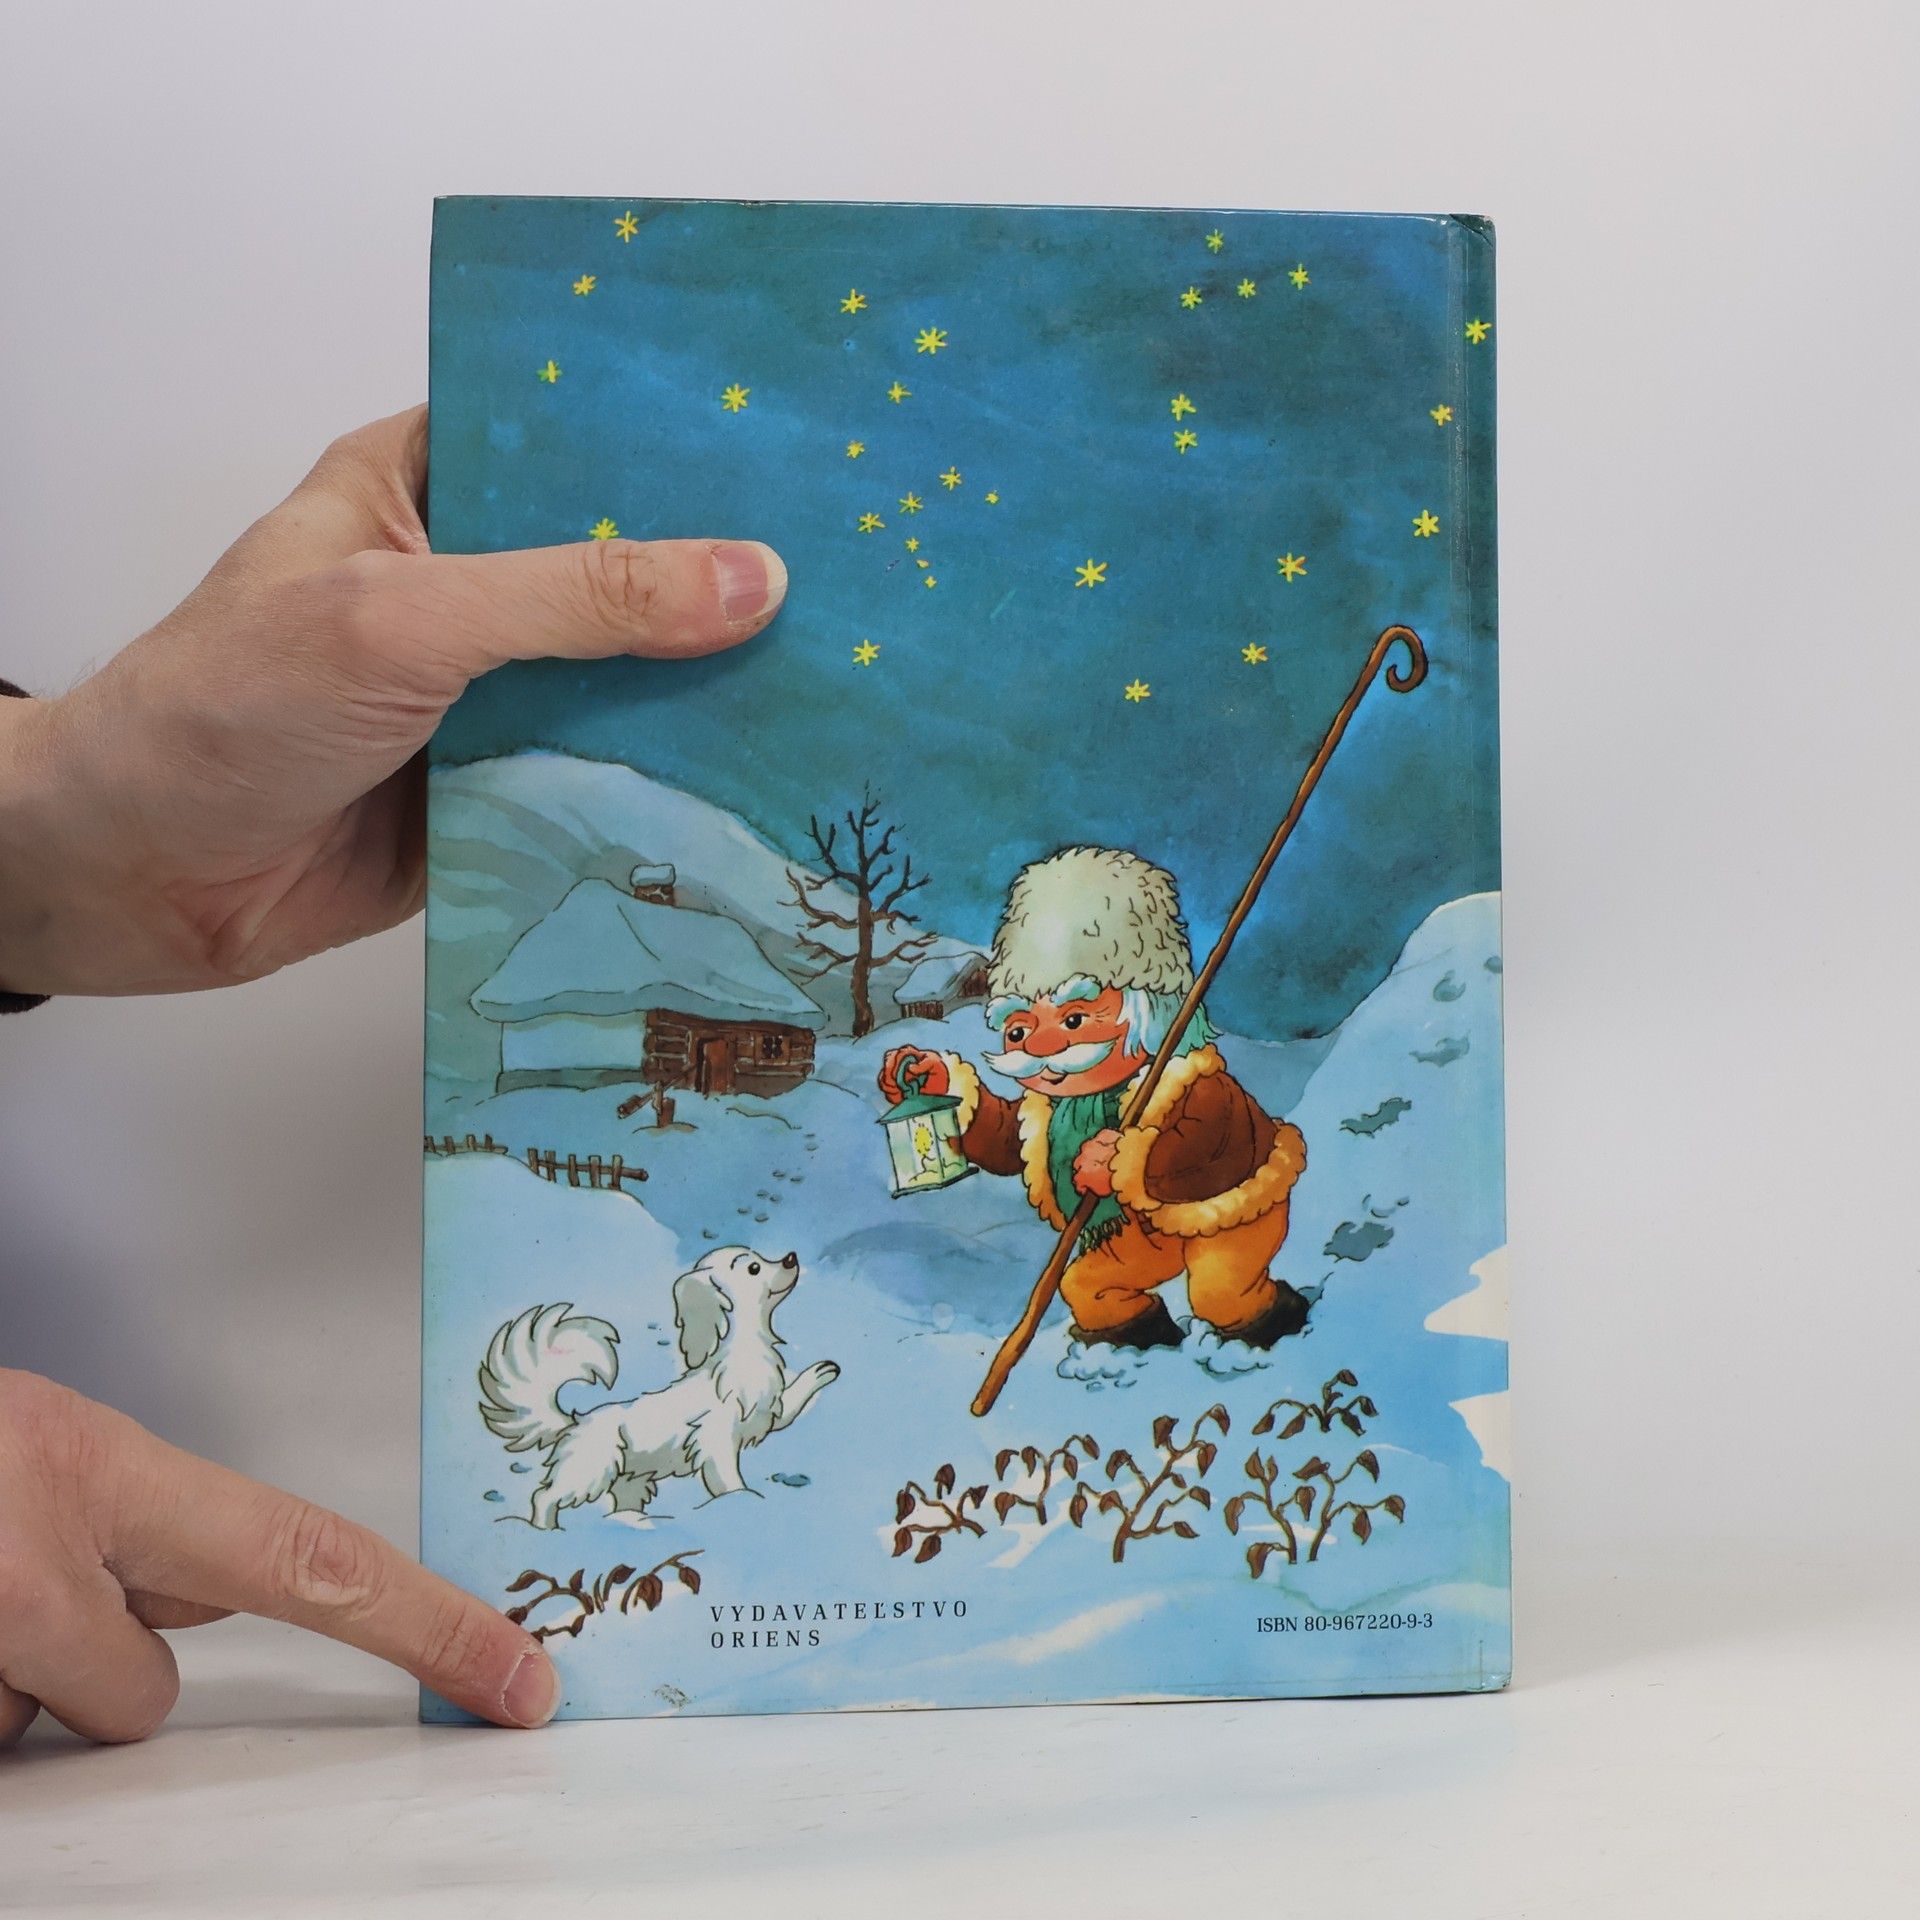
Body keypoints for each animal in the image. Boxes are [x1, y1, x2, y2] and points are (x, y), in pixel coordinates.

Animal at [478, 1246, 839, 1529]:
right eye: (753, 1268)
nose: (791, 1258)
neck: (743, 1350)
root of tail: (575, 1422)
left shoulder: (768, 1412)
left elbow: (793, 1399)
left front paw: (823, 1371)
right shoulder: (716, 1438)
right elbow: (728, 1479)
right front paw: (742, 1500)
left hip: (629, 1482)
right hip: (588, 1471)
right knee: (544, 1496)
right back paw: (547, 1530)